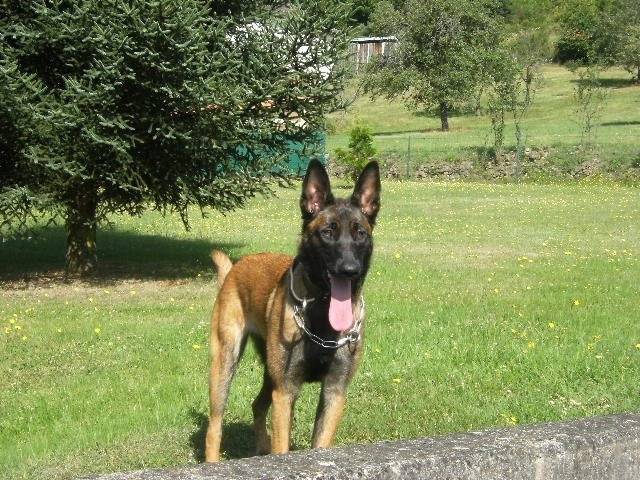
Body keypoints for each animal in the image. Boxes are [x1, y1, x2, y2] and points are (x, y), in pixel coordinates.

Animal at [204, 159, 381, 462]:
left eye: (360, 233)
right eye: (327, 232)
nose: (349, 270)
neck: (321, 318)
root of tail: (234, 269)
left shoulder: (334, 391)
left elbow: (320, 443)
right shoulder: (285, 392)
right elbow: (282, 445)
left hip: (269, 372)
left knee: (257, 405)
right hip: (225, 363)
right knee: (215, 424)